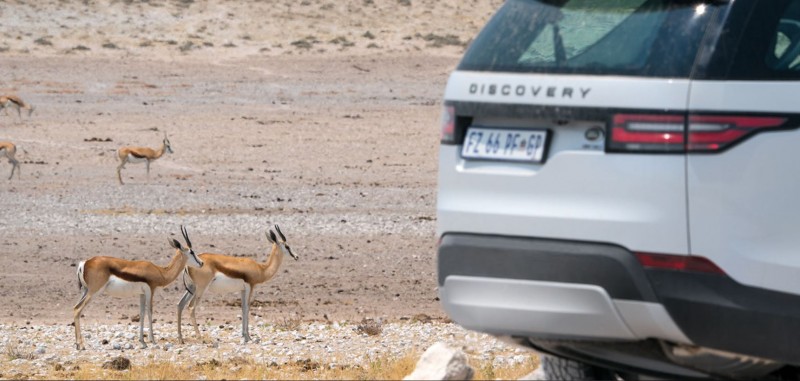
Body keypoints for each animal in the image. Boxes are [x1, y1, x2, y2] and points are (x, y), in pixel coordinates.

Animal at [74, 224, 203, 348]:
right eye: (192, 252)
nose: (201, 263)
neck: (160, 272)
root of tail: (85, 263)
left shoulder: (141, 294)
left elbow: (141, 313)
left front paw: (143, 342)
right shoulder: (151, 291)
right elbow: (150, 312)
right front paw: (153, 341)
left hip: (85, 291)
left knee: (75, 307)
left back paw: (77, 344)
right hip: (93, 292)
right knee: (77, 310)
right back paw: (81, 345)